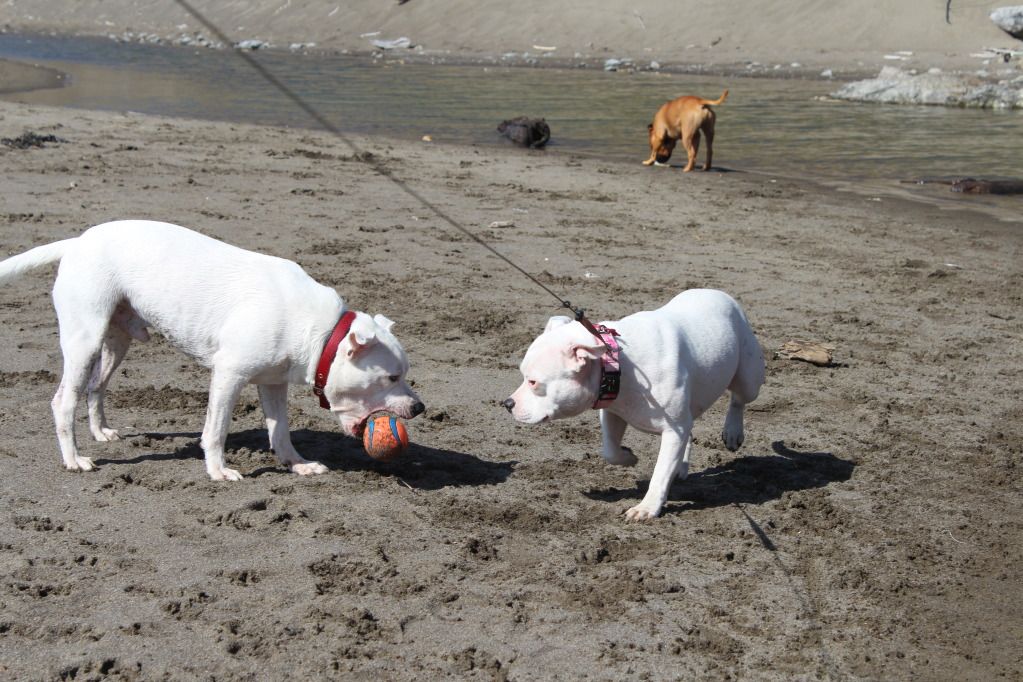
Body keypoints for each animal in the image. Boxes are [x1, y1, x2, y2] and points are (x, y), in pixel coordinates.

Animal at [0, 221, 423, 482]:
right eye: (392, 376)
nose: (420, 408)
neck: (322, 334)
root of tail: (77, 242)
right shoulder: (229, 376)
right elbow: (216, 430)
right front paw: (219, 470)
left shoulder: (273, 383)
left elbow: (281, 431)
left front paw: (297, 464)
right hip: (84, 340)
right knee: (63, 400)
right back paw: (73, 459)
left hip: (116, 341)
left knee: (96, 388)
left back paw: (101, 431)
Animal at [507, 290, 765, 523]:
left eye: (533, 382)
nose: (507, 403)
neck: (616, 361)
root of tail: (720, 294)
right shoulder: (613, 409)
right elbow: (610, 450)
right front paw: (628, 457)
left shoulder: (673, 430)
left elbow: (660, 472)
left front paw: (647, 507)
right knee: (690, 429)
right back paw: (681, 466)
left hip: (748, 377)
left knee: (738, 399)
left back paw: (732, 432)